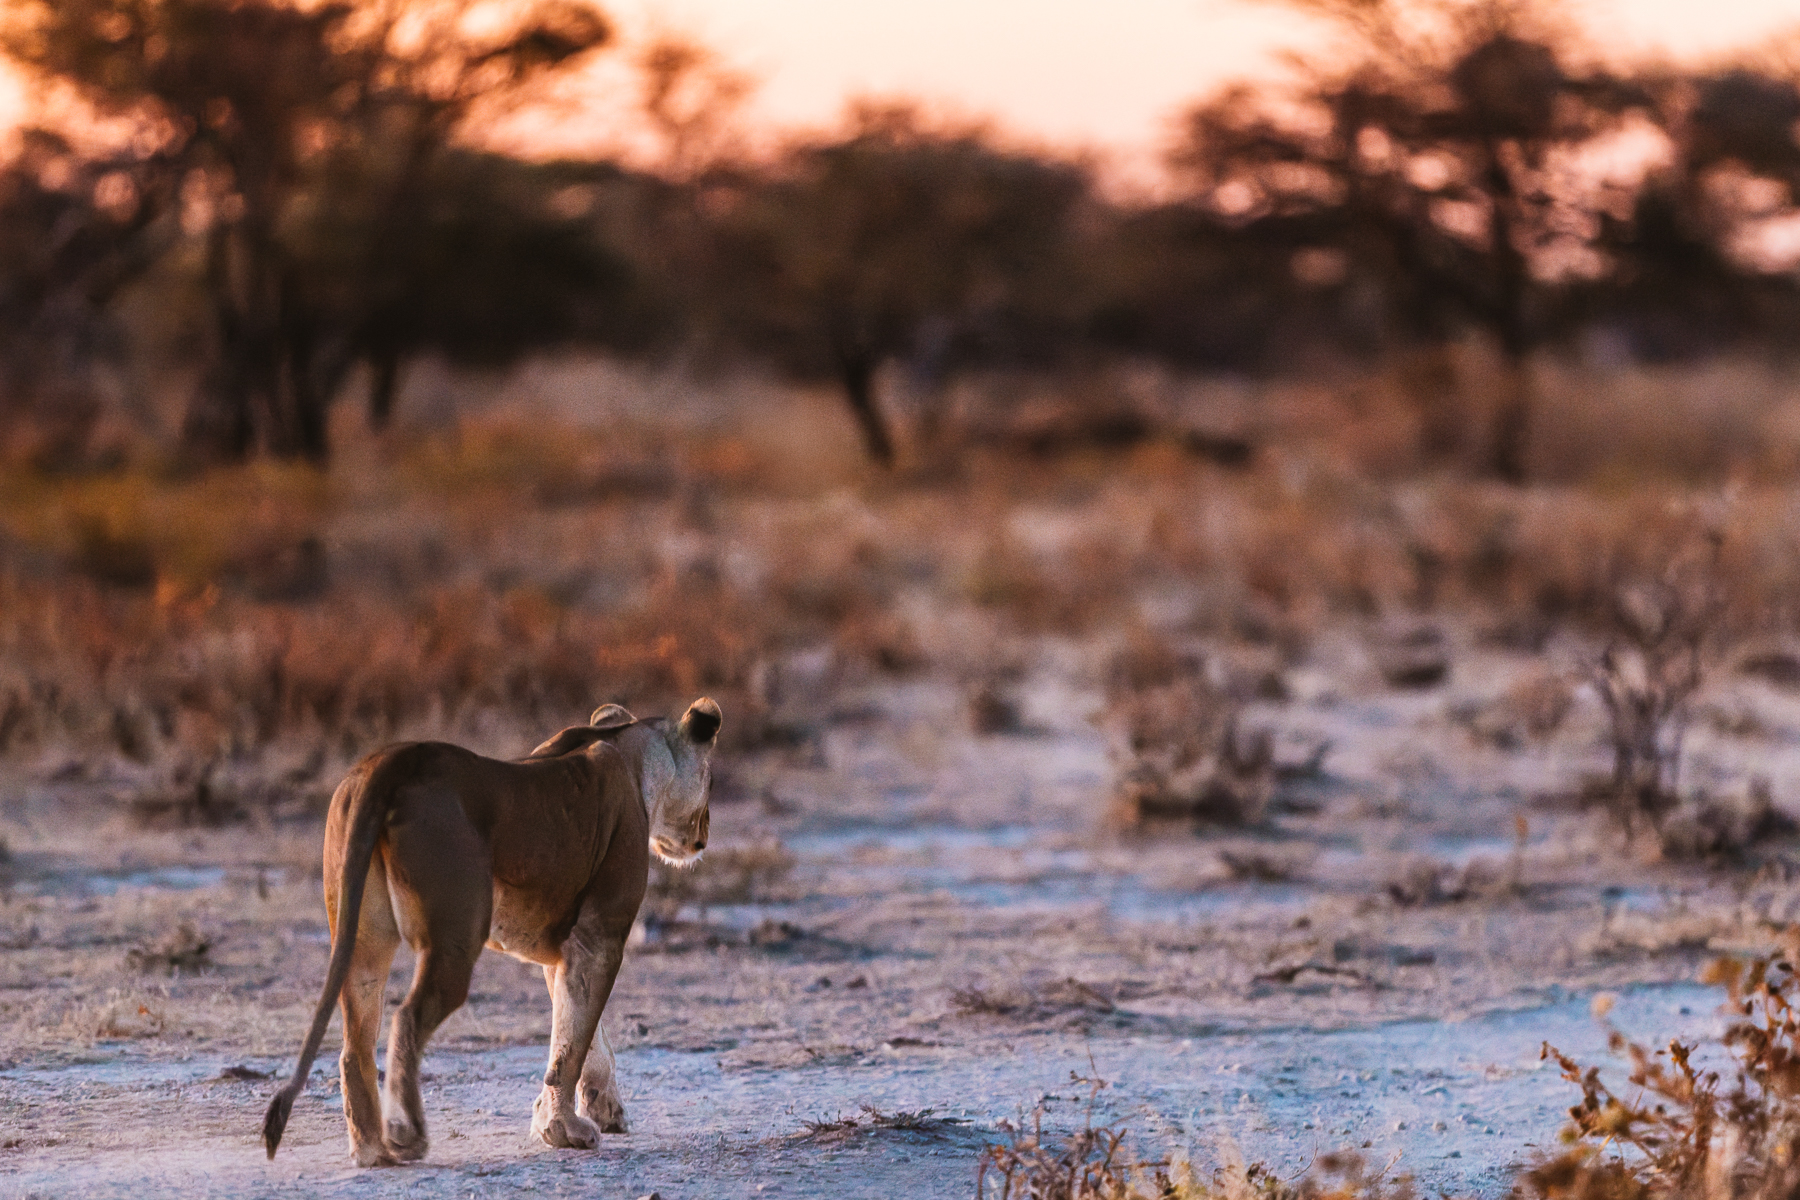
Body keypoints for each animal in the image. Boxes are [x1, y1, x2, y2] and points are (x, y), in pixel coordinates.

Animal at [261, 697, 720, 1167]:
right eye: (712, 780)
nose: (705, 833)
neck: (630, 751)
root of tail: (388, 763)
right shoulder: (599, 936)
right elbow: (573, 1041)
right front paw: (563, 1130)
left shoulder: (564, 950)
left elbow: (579, 1031)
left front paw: (586, 1111)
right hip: (456, 937)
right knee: (407, 1019)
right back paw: (406, 1135)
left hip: (365, 940)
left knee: (355, 1044)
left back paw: (372, 1150)